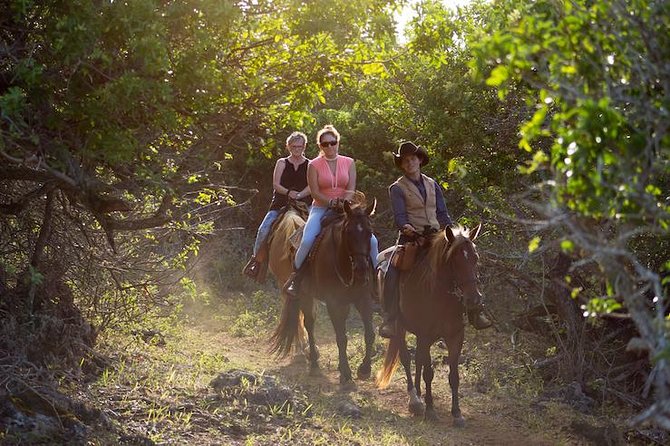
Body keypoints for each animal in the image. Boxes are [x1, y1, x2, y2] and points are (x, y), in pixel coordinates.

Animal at [272, 200, 378, 388]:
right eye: (348, 232)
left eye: (369, 232)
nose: (361, 270)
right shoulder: (333, 303)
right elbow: (341, 338)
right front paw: (346, 374)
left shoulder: (363, 299)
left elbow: (370, 334)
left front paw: (364, 370)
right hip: (305, 296)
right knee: (309, 324)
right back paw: (314, 364)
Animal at [378, 225, 484, 426]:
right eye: (454, 260)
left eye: (476, 258)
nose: (473, 299)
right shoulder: (425, 335)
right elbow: (428, 372)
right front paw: (430, 409)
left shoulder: (455, 336)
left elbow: (453, 376)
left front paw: (457, 413)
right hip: (400, 327)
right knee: (406, 358)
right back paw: (415, 400)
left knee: (418, 359)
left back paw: (419, 396)